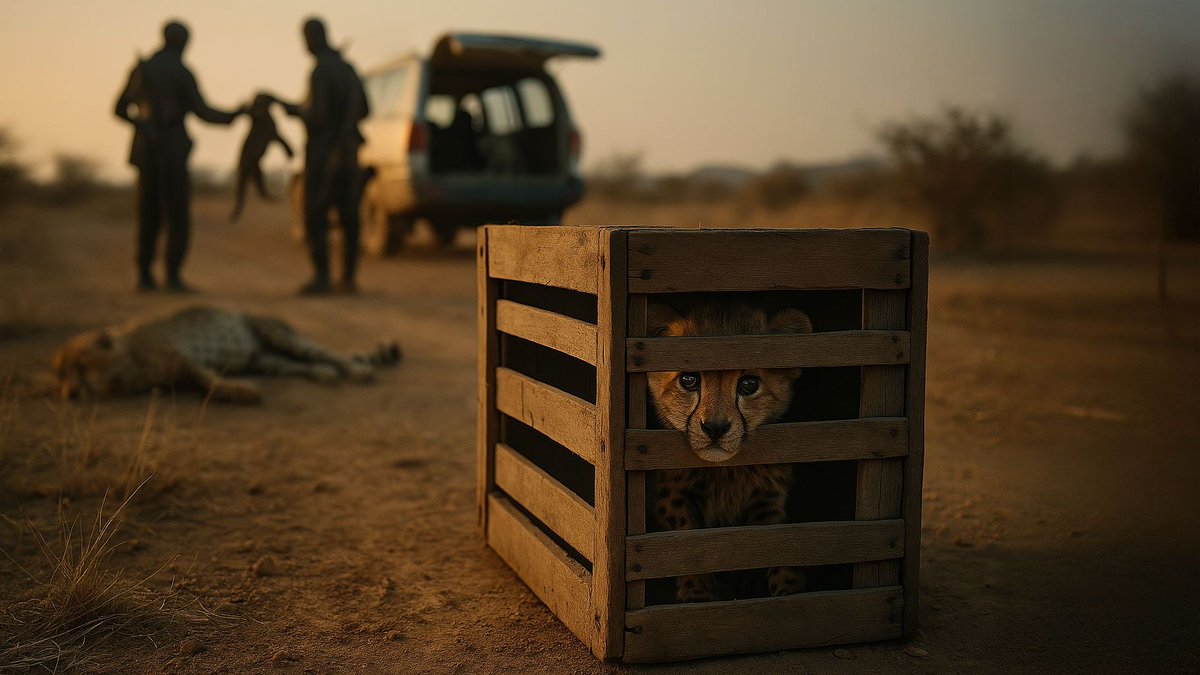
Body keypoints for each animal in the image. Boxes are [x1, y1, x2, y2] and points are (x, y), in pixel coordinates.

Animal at [53, 305, 401, 404]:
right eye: (60, 375)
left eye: (80, 367)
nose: (69, 394)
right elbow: (202, 382)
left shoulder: (184, 359)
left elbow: (207, 379)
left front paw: (240, 390)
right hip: (266, 360)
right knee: (298, 364)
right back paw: (323, 374)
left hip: (276, 335)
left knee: (326, 353)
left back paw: (355, 371)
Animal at [646, 302, 812, 603]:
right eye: (689, 380)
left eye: (748, 384)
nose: (715, 428)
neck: (726, 473)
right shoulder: (673, 500)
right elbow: (688, 542)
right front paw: (697, 596)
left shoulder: (768, 501)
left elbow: (779, 548)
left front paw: (790, 594)